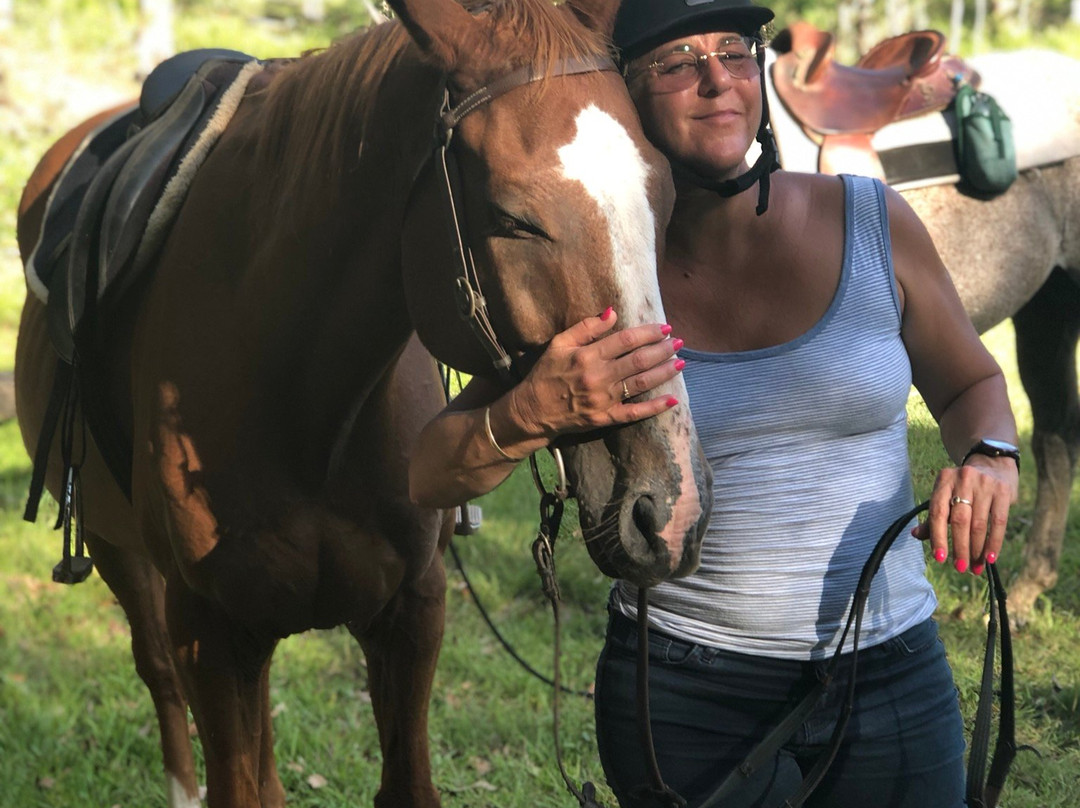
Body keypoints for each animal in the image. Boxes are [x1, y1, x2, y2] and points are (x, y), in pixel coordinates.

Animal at [12, 1, 712, 806]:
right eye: (512, 218)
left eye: (664, 194)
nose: (670, 510)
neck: (304, 403)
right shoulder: (209, 631)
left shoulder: (410, 612)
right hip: (115, 548)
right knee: (158, 674)